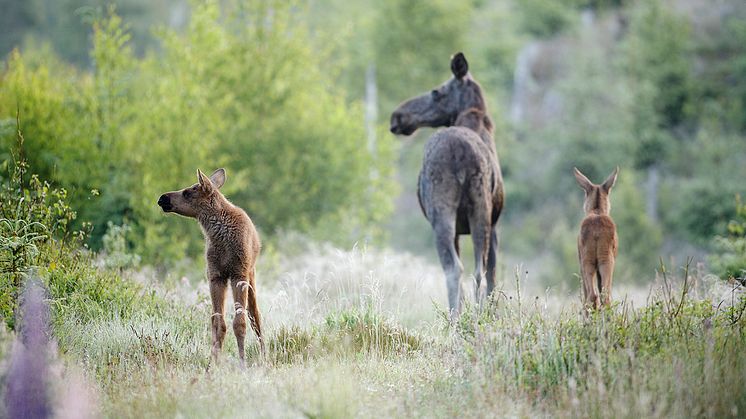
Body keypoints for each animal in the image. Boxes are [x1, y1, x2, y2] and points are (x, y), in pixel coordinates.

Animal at [155, 169, 264, 366]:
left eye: (188, 192)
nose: (162, 198)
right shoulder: (215, 276)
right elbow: (218, 323)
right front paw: (212, 363)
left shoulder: (238, 274)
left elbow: (240, 322)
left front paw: (242, 363)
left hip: (251, 274)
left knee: (255, 316)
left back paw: (264, 355)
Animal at [386, 52, 502, 316]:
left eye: (436, 91)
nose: (397, 116)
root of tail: (458, 152)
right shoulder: (489, 222)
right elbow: (491, 274)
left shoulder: (490, 222)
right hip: (478, 209)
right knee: (476, 270)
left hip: (445, 212)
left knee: (455, 268)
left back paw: (455, 318)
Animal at [572, 168, 620, 312]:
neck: (597, 209)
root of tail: (597, 232)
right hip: (605, 261)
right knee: (603, 296)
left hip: (589, 261)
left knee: (593, 295)